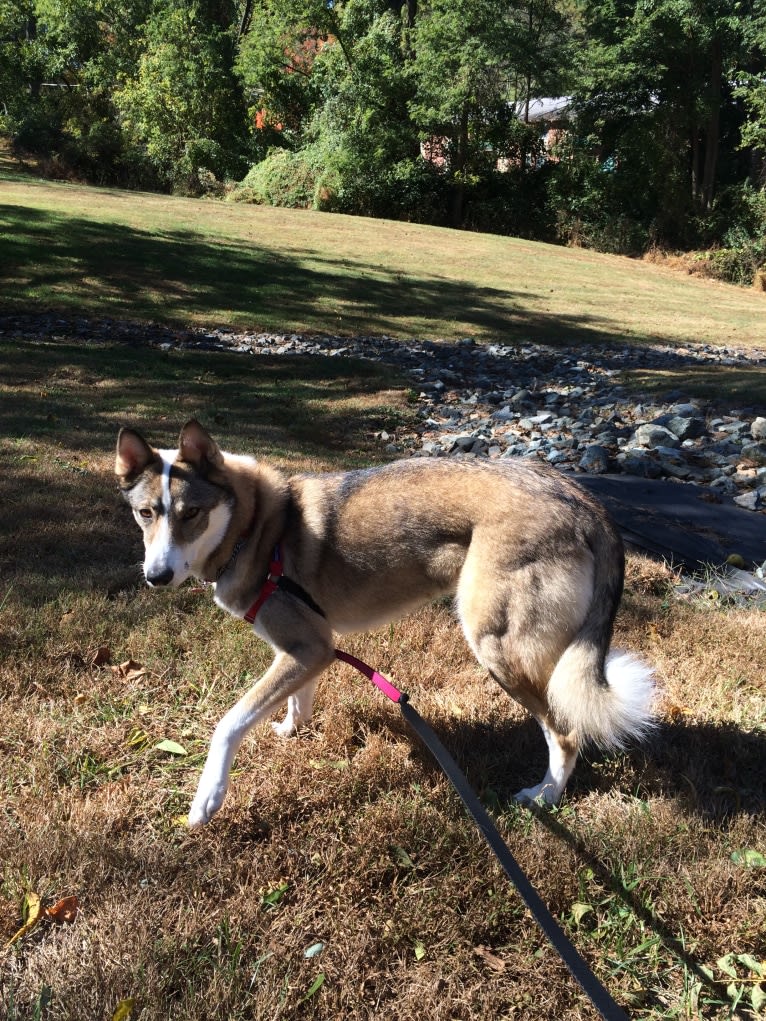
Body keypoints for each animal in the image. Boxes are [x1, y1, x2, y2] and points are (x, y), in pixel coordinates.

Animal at [116, 418, 657, 824]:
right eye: (145, 514)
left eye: (191, 514)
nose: (156, 577)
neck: (255, 528)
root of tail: (582, 499)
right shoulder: (309, 649)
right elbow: (296, 699)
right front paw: (291, 729)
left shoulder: (307, 648)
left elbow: (229, 724)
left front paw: (208, 796)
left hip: (497, 647)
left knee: (565, 734)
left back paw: (546, 795)